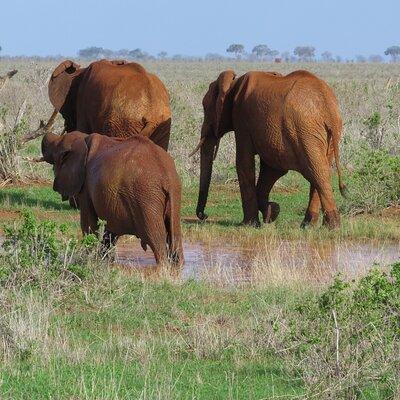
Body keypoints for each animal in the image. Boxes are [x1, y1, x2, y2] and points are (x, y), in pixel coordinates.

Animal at [41, 130, 183, 266]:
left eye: (55, 149)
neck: (83, 138)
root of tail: (167, 176)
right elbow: (110, 230)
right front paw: (105, 261)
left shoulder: (86, 186)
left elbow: (88, 224)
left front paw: (89, 260)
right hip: (174, 197)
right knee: (175, 240)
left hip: (146, 199)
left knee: (156, 240)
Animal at [191, 69, 346, 228]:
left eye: (205, 107)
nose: (204, 215)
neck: (233, 84)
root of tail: (328, 107)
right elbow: (272, 169)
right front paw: (272, 212)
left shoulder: (242, 119)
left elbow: (243, 163)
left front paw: (250, 224)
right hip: (322, 133)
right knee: (321, 169)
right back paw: (309, 225)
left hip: (304, 130)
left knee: (317, 171)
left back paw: (332, 226)